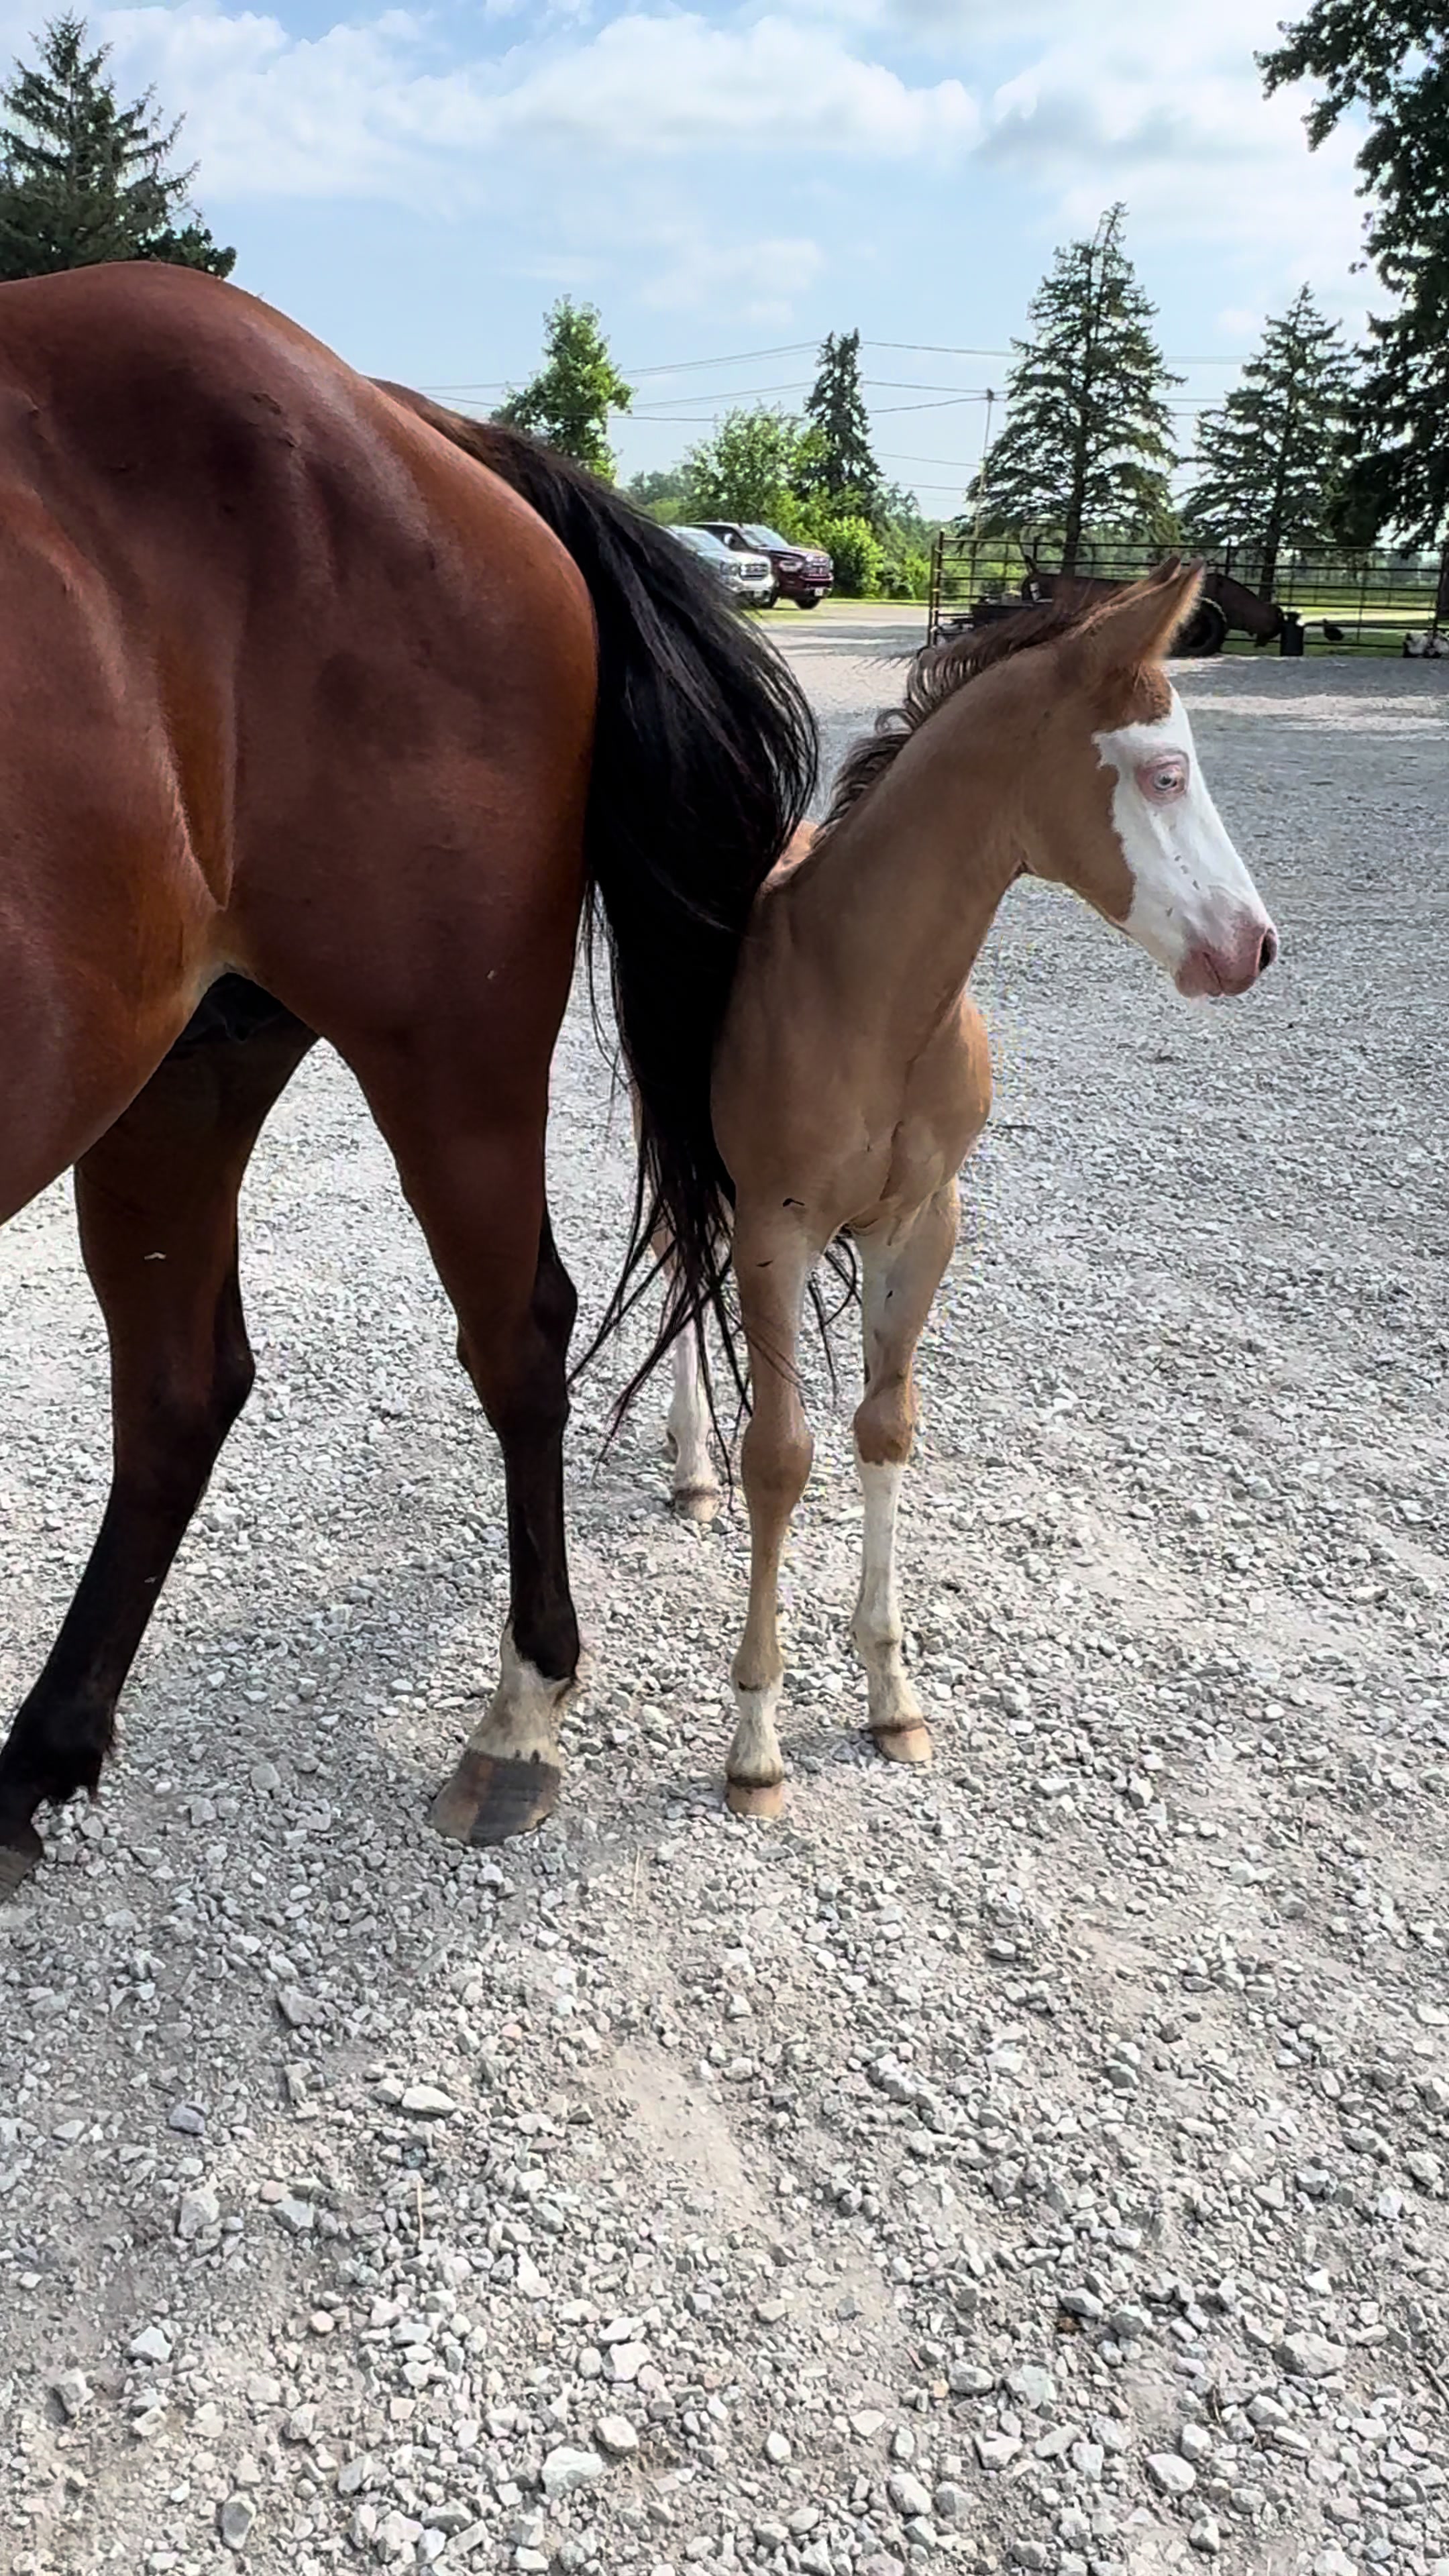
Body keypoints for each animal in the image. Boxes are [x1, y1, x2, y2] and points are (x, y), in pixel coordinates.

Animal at [0, 263, 815, 1895]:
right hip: (188, 1069)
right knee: (179, 1386)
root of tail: (417, 421)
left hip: (446, 1050)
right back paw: (38, 1760)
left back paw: (521, 1719)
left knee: (519, 1335)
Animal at [655, 565, 1279, 1815]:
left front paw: (892, 1694)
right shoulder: (776, 1233)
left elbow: (885, 1429)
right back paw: (691, 1465)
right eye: (1164, 771)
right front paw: (755, 1745)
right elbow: (780, 1459)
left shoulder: (923, 1225)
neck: (864, 993)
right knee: (669, 1269)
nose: (1254, 947)